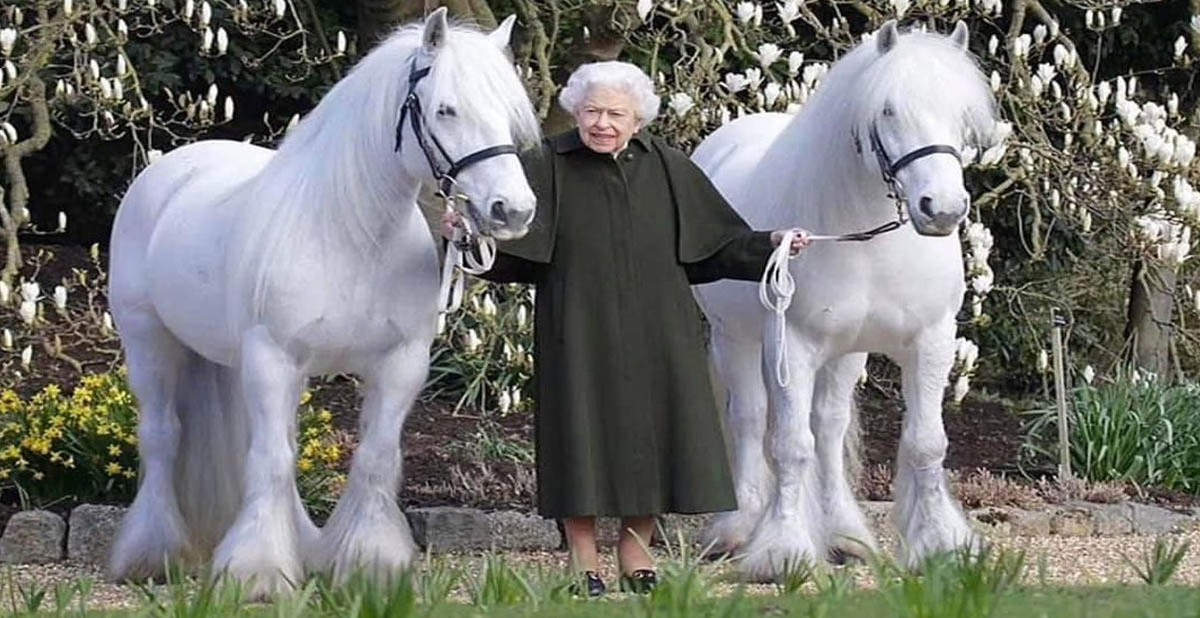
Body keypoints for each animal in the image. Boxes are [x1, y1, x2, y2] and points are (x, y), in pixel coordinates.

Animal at [108, 10, 540, 600]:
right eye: (446, 109)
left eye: (508, 113)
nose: (513, 210)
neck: (351, 234)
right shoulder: (273, 357)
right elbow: (271, 460)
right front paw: (258, 573)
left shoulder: (399, 364)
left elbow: (373, 459)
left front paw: (370, 565)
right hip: (150, 342)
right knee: (162, 438)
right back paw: (154, 554)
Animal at [691, 20, 998, 580]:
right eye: (888, 109)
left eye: (961, 113)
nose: (942, 209)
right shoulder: (791, 345)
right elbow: (790, 446)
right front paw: (783, 550)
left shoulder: (931, 341)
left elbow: (926, 442)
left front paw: (941, 546)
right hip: (734, 339)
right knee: (750, 418)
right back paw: (738, 527)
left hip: (846, 352)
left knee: (829, 429)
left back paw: (844, 536)